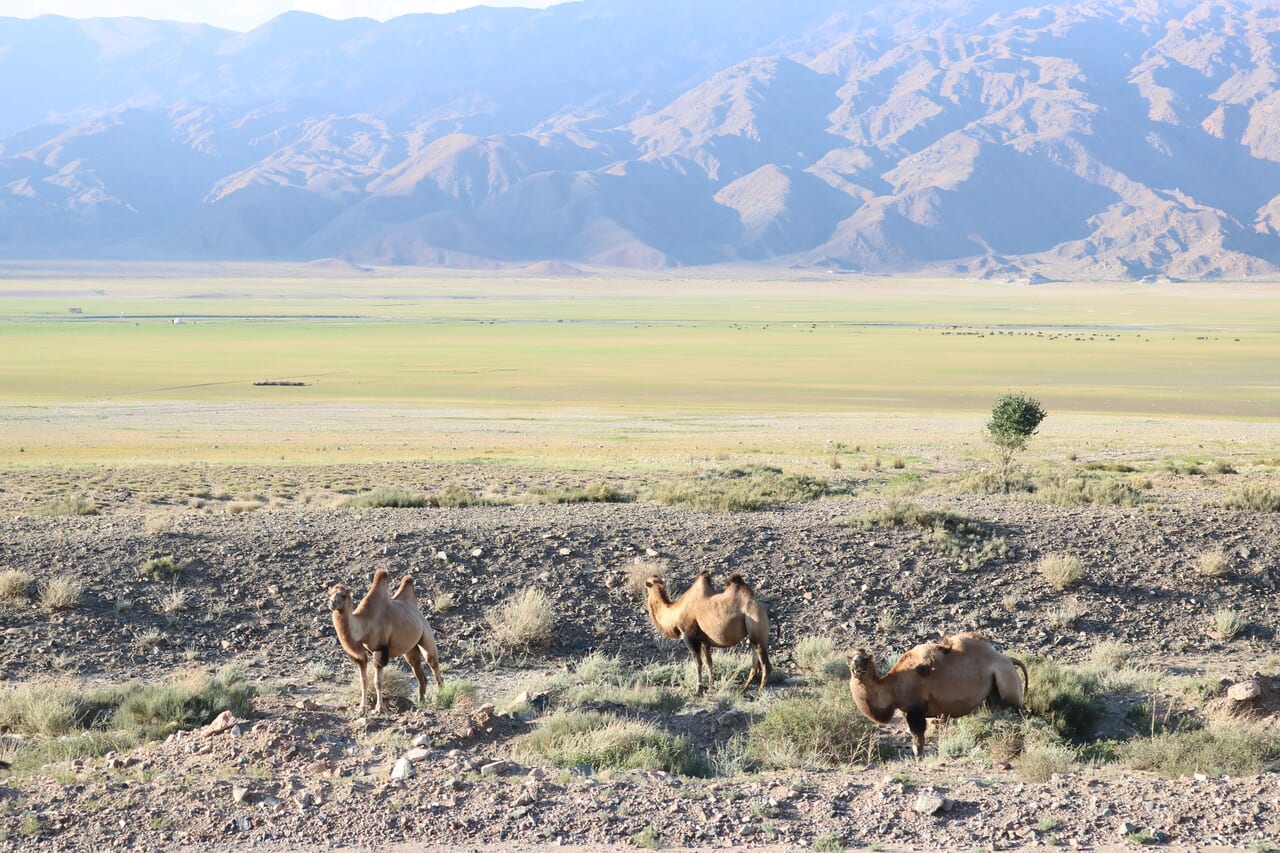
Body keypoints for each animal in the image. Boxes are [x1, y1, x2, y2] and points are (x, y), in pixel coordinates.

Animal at [330, 568, 445, 712]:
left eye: (344, 595)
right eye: (330, 594)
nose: (332, 603)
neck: (364, 624)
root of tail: (420, 616)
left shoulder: (380, 648)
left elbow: (378, 682)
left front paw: (379, 708)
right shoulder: (360, 656)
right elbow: (364, 681)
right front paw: (362, 708)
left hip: (427, 636)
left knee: (433, 664)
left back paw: (441, 698)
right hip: (410, 649)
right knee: (418, 670)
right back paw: (421, 702)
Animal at [640, 568, 768, 696]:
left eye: (647, 583)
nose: (644, 584)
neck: (674, 613)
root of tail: (764, 609)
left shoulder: (689, 637)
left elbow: (698, 663)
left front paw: (698, 690)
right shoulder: (704, 640)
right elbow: (708, 662)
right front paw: (711, 687)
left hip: (757, 631)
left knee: (766, 666)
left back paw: (759, 694)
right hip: (753, 637)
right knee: (755, 666)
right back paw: (742, 690)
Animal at [849, 630, 1029, 758]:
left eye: (865, 659)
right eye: (851, 658)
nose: (857, 668)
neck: (892, 686)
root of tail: (1009, 659)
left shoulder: (915, 710)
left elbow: (918, 738)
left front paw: (919, 757)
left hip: (1008, 683)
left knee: (1019, 714)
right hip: (994, 696)